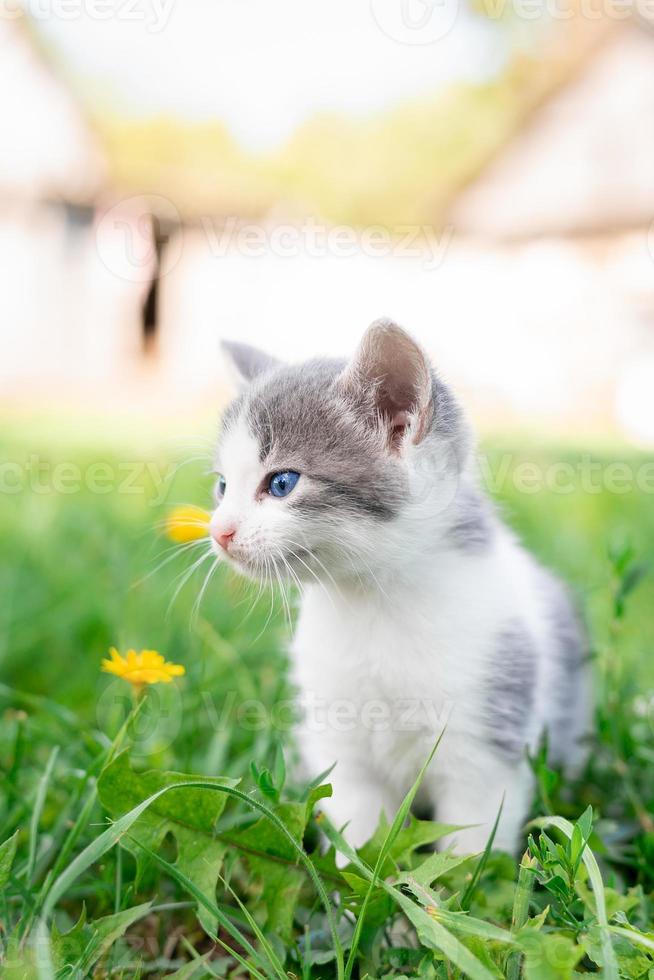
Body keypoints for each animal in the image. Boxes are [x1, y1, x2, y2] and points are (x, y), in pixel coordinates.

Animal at [211, 320, 596, 848]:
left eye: (282, 483)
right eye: (222, 487)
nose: (219, 531)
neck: (374, 603)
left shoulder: (488, 735)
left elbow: (474, 839)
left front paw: (465, 870)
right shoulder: (340, 742)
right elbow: (356, 827)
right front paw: (351, 871)